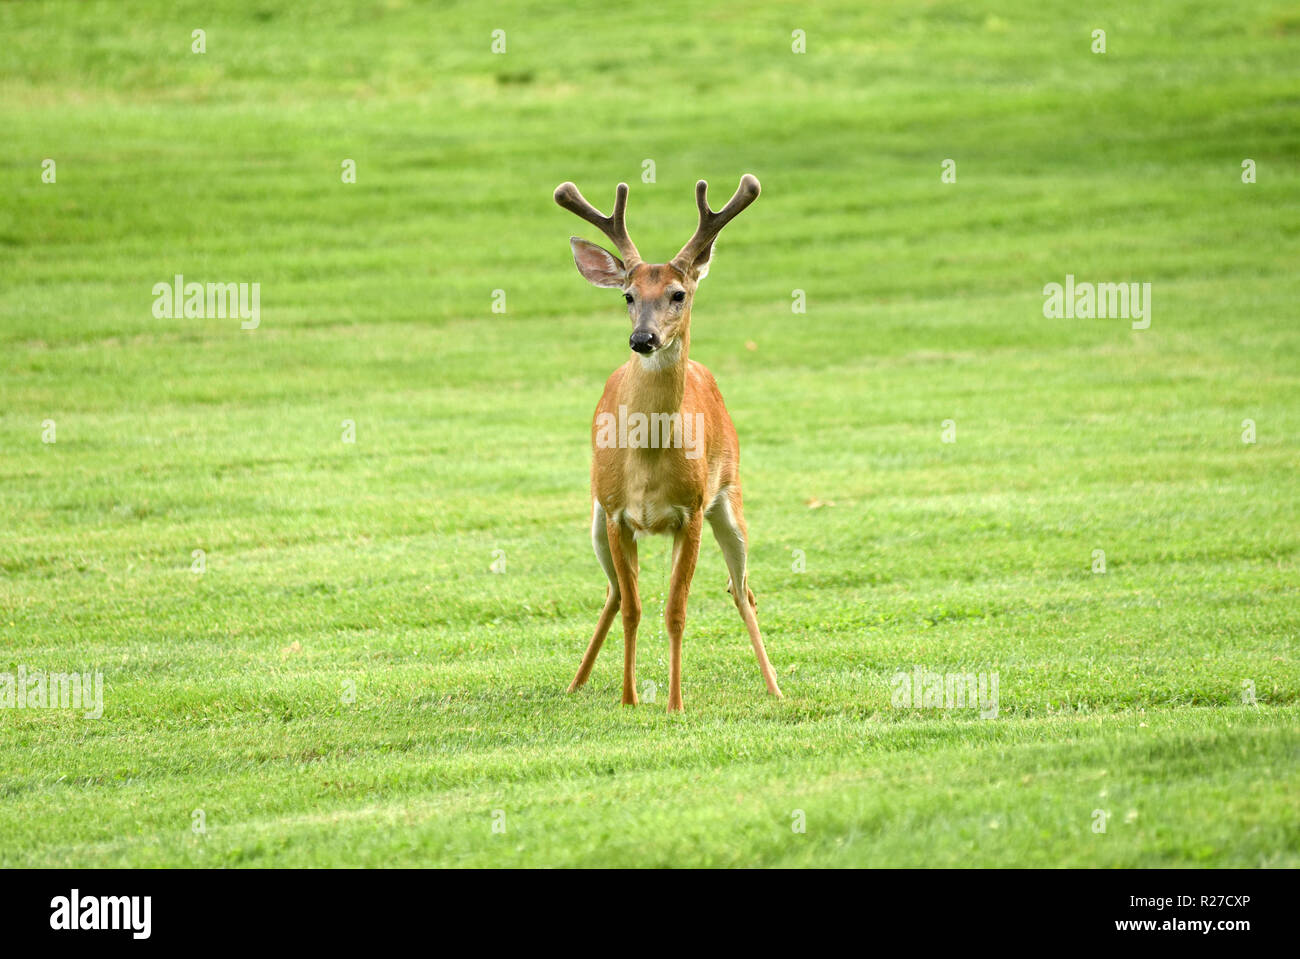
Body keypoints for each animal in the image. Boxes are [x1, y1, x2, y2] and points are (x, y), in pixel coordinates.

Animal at [551, 174, 780, 712]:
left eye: (678, 293)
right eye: (628, 295)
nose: (643, 339)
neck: (649, 459)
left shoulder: (690, 511)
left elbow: (675, 609)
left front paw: (674, 703)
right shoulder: (616, 512)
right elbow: (634, 608)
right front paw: (629, 699)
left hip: (730, 497)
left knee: (743, 590)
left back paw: (776, 688)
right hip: (595, 519)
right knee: (614, 594)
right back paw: (575, 683)